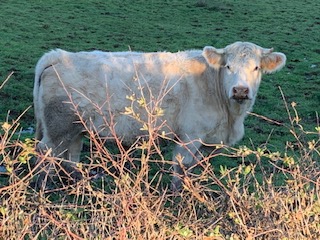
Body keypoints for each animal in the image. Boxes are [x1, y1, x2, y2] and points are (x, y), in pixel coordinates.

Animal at [33, 41, 286, 189]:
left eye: (256, 67)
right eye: (228, 67)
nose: (241, 90)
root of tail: (58, 55)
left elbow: (191, 171)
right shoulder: (189, 137)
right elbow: (181, 170)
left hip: (75, 126)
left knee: (70, 155)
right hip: (58, 127)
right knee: (46, 152)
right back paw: (42, 187)